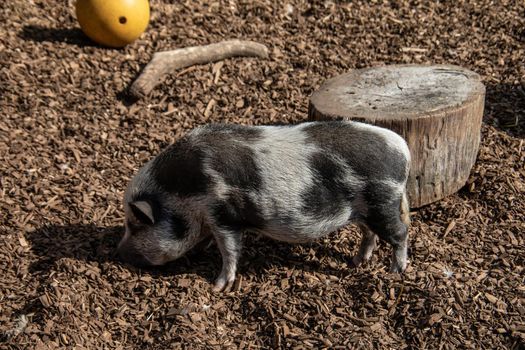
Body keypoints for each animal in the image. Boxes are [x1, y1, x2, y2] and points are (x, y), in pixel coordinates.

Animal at [116, 121, 412, 292]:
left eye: (135, 224)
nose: (116, 252)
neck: (184, 192)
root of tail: (405, 150)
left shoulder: (222, 213)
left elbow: (230, 249)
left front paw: (218, 287)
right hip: (365, 210)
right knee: (370, 234)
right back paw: (356, 262)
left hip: (383, 201)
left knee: (401, 233)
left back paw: (395, 271)